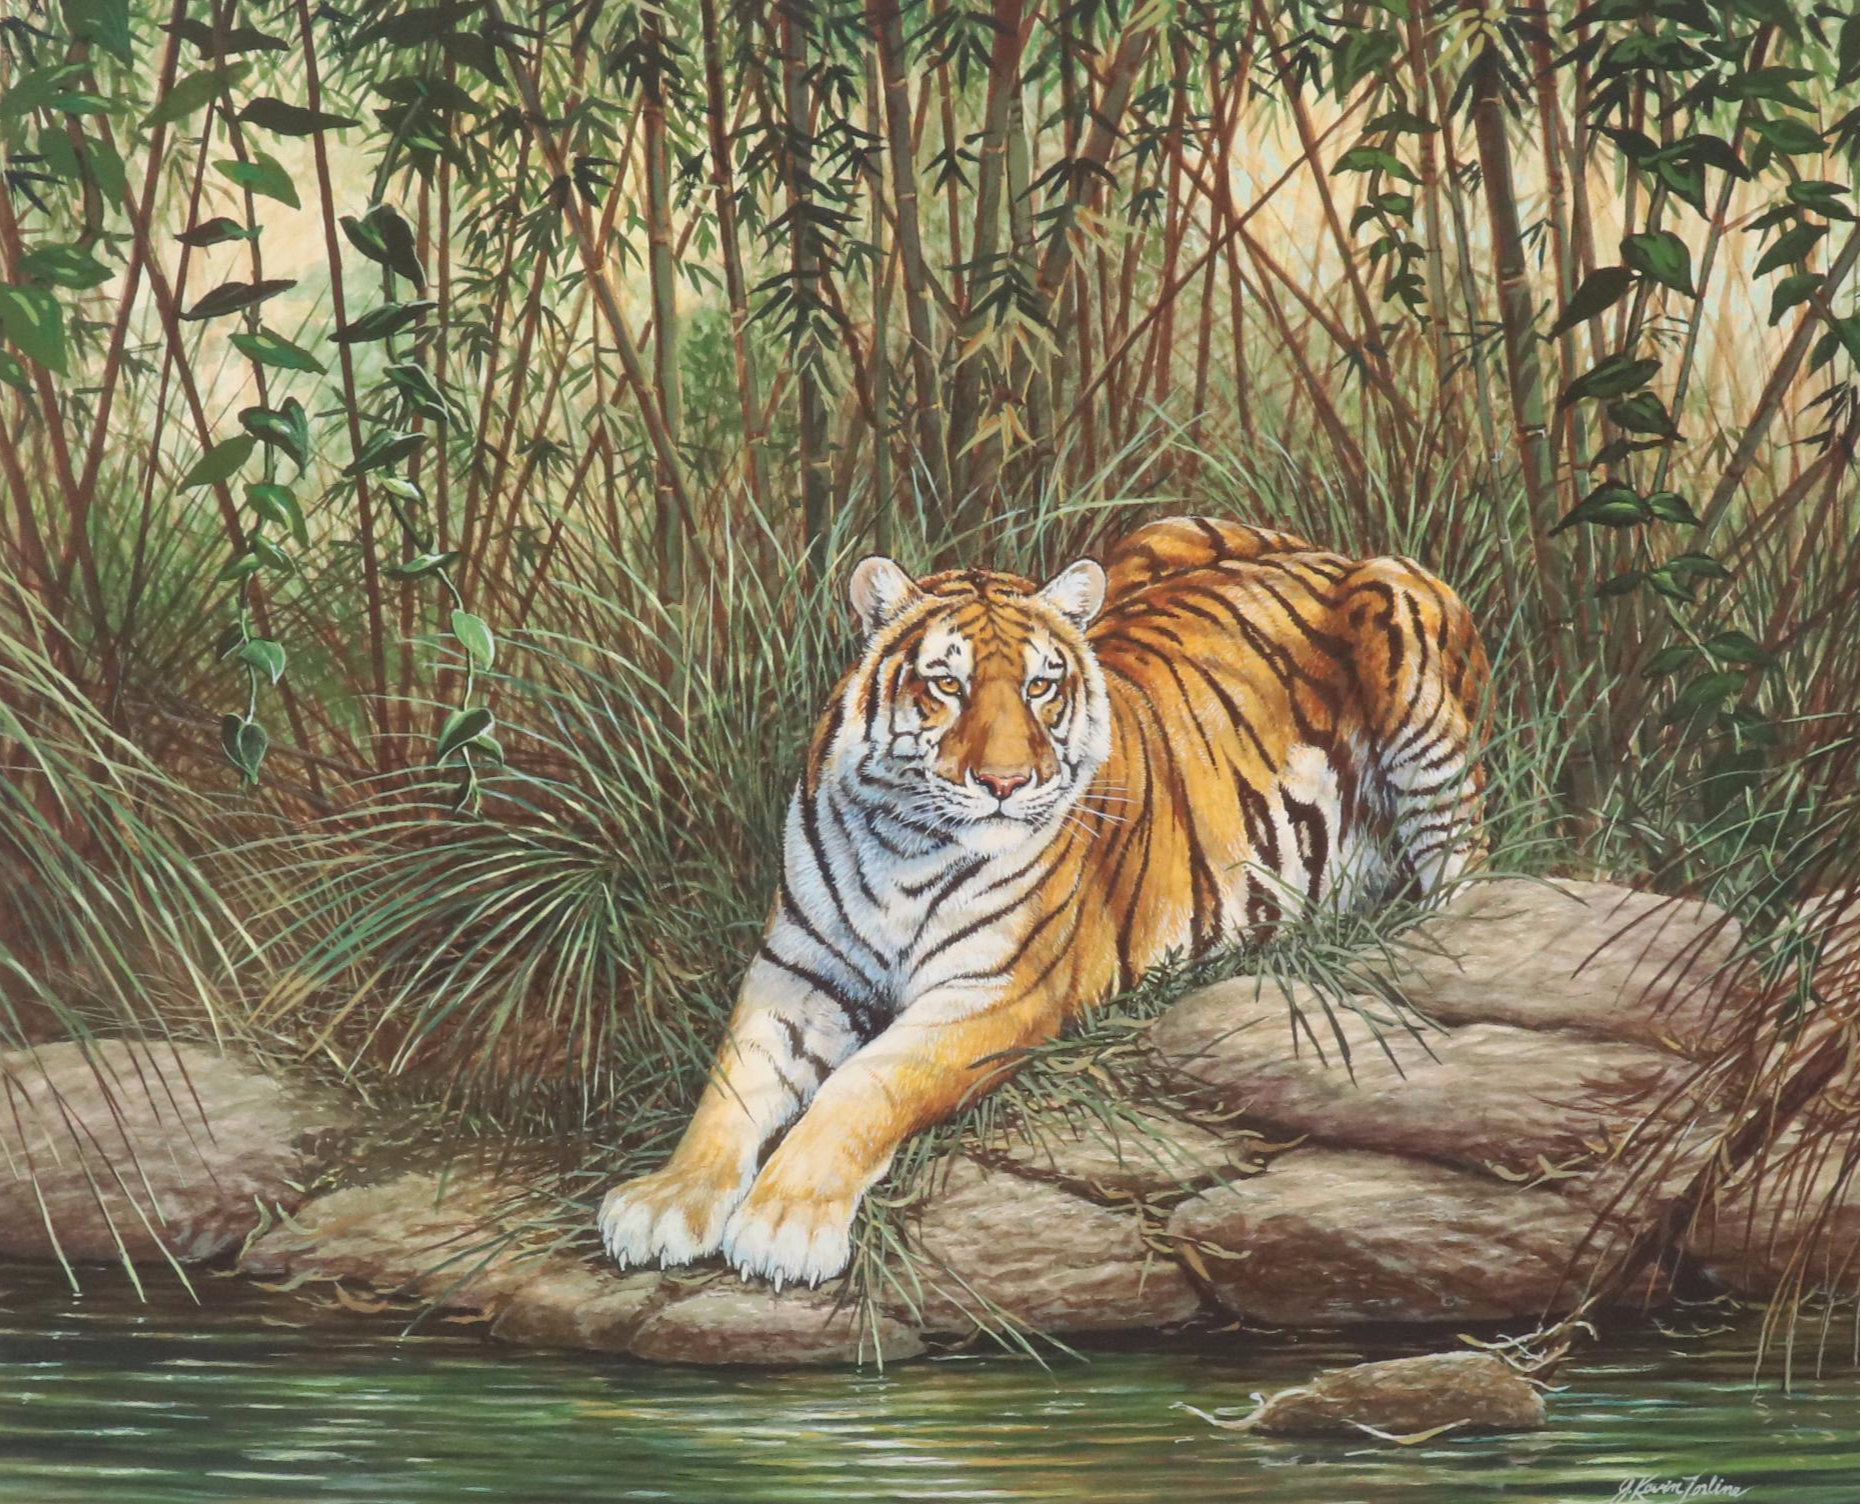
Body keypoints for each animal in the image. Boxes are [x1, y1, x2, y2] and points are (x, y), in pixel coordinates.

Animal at [599, 515, 1489, 1289]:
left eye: (1039, 688)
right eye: (946, 684)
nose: (1004, 783)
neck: (903, 839)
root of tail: (1324, 550)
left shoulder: (993, 992)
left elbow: (863, 1087)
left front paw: (783, 1223)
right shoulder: (797, 974)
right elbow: (729, 1087)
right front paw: (666, 1202)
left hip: (1401, 627)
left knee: (1461, 874)